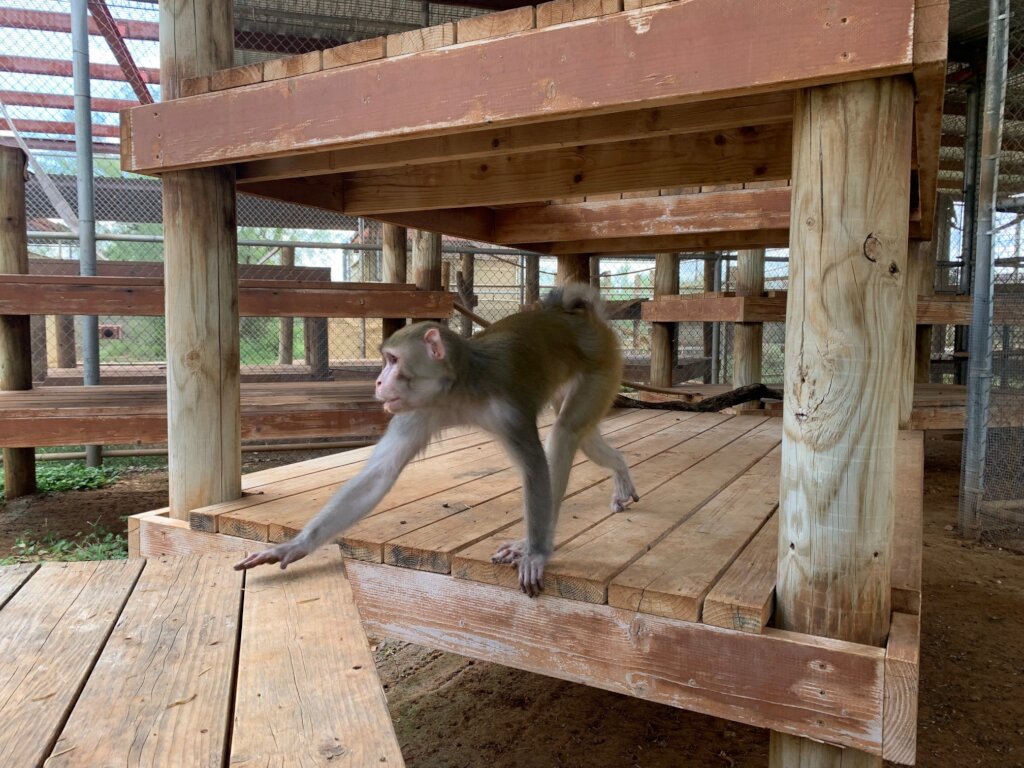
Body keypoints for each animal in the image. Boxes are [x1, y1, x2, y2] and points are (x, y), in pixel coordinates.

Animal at [235, 283, 639, 596]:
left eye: (393, 360)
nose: (378, 381)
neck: (458, 389)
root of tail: (574, 317)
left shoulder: (506, 409)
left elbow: (535, 469)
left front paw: (536, 552)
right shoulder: (418, 410)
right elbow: (379, 474)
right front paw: (295, 545)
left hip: (604, 363)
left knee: (566, 432)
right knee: (581, 434)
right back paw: (620, 468)